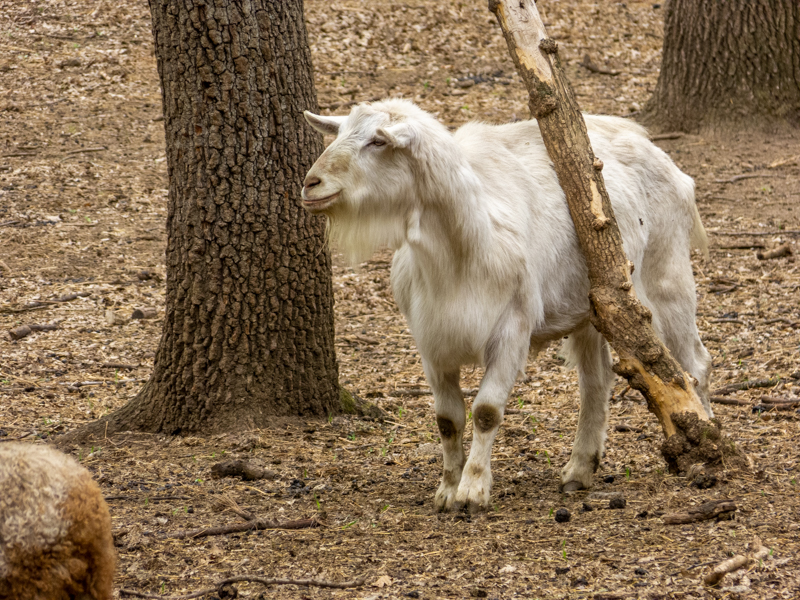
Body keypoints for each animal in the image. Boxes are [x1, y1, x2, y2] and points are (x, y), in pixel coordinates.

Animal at [302, 99, 712, 513]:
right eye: (339, 133)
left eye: (377, 141)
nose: (310, 183)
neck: (462, 246)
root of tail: (663, 158)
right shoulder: (431, 340)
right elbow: (447, 419)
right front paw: (447, 490)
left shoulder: (512, 328)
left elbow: (486, 412)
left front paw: (472, 491)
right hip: (593, 308)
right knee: (596, 381)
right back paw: (580, 470)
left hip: (666, 275)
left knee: (693, 365)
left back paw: (705, 443)